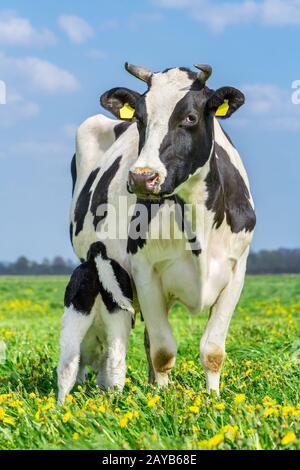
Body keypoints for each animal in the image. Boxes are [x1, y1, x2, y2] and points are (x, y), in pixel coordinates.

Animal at [56, 62, 255, 404]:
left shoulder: (236, 269)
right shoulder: (145, 272)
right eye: (140, 119)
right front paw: (161, 398)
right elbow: (162, 350)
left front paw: (213, 398)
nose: (141, 177)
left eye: (190, 117)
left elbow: (213, 350)